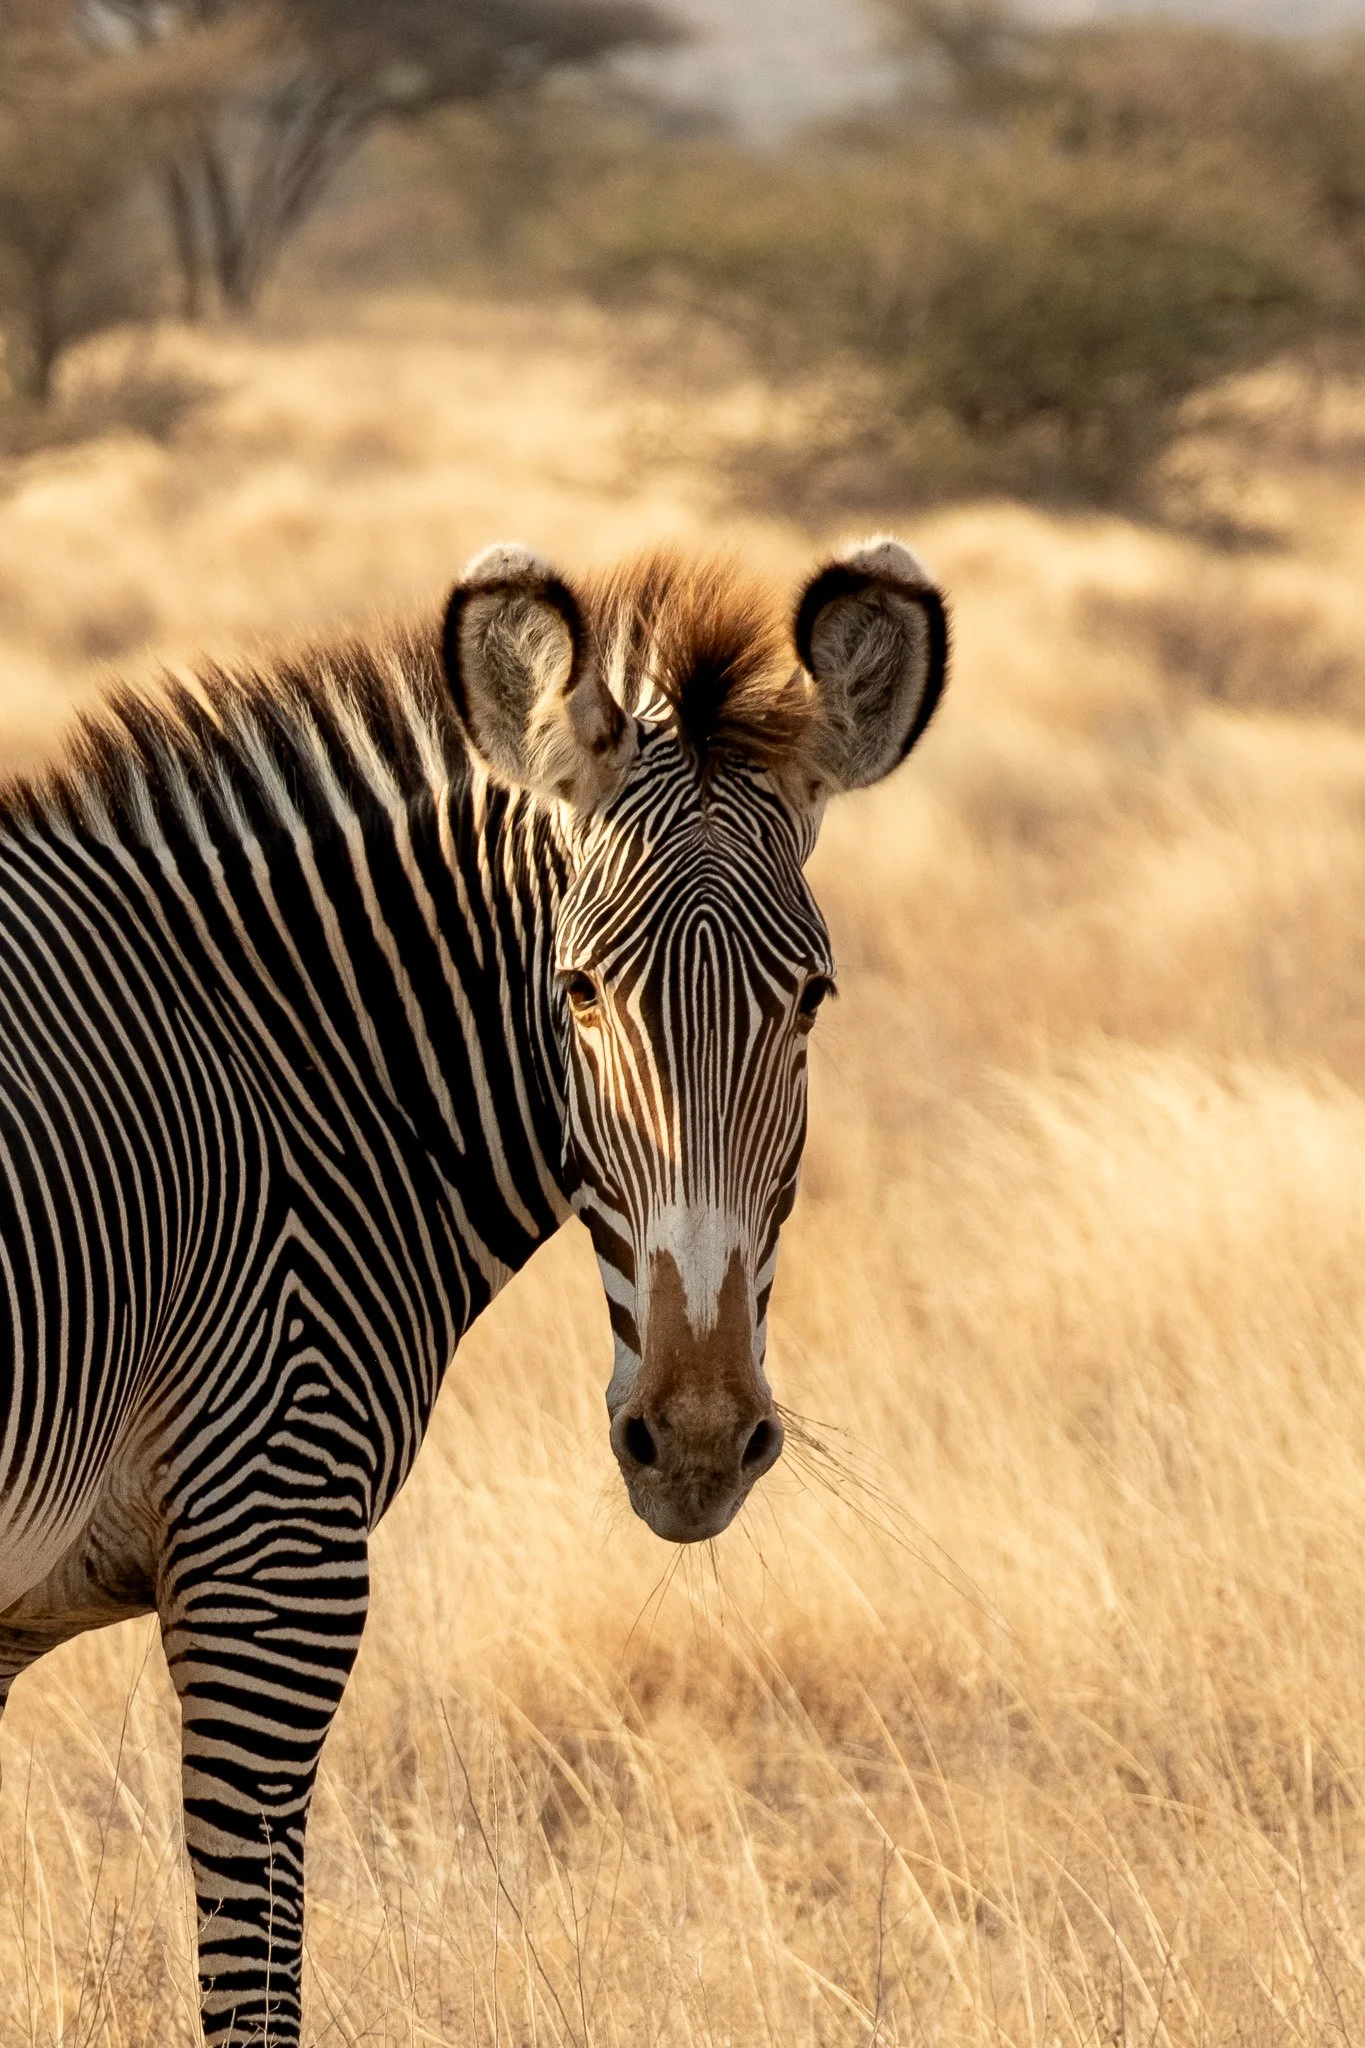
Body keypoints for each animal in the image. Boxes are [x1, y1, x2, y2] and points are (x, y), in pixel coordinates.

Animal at [0, 534, 948, 2043]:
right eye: (577, 992)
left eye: (812, 1001)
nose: (694, 1439)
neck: (289, 1077)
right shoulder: (275, 1556)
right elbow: (257, 1994)